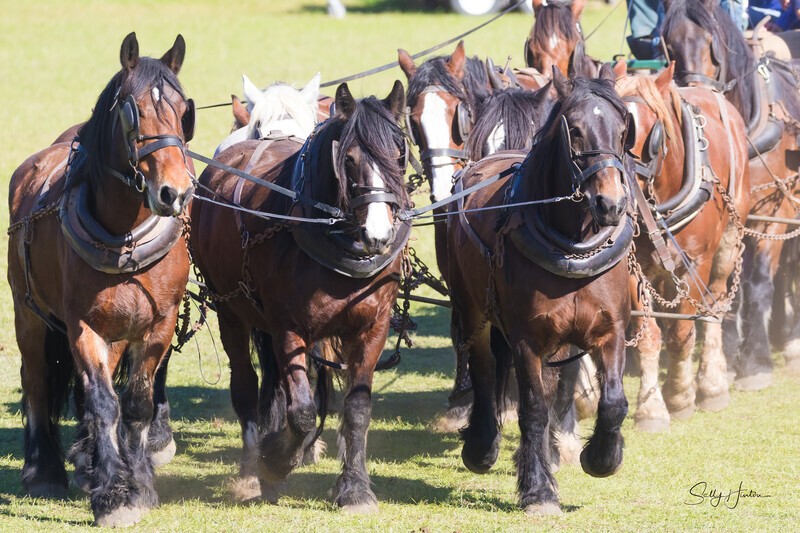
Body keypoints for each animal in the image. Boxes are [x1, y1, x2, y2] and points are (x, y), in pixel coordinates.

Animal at [7, 33, 194, 527]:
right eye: (135, 112)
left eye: (182, 110)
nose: (175, 192)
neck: (124, 235)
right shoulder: (82, 326)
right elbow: (104, 402)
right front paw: (112, 495)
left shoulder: (157, 324)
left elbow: (135, 404)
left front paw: (139, 484)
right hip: (28, 314)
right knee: (37, 379)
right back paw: (45, 470)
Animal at [190, 81, 411, 511]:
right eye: (350, 160)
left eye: (400, 155)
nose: (378, 236)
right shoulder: (288, 327)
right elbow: (303, 411)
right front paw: (276, 460)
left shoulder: (372, 326)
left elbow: (357, 409)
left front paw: (355, 488)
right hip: (231, 311)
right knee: (246, 387)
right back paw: (251, 469)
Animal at [446, 65, 634, 515]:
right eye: (576, 131)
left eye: (623, 131)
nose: (611, 204)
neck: (572, 243)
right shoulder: (527, 340)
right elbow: (531, 408)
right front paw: (538, 490)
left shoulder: (611, 331)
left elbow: (613, 401)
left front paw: (600, 457)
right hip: (474, 313)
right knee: (483, 369)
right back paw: (482, 446)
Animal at [615, 61, 750, 431]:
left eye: (653, 132)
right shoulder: (634, 268)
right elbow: (649, 333)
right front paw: (651, 409)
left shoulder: (695, 262)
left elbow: (681, 332)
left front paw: (679, 395)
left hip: (728, 241)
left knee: (714, 303)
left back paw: (711, 384)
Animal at [663, 0, 800, 389]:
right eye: (669, 45)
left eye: (714, 44)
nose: (697, 94)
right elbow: (727, 288)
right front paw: (726, 351)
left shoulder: (775, 212)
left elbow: (759, 282)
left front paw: (755, 361)